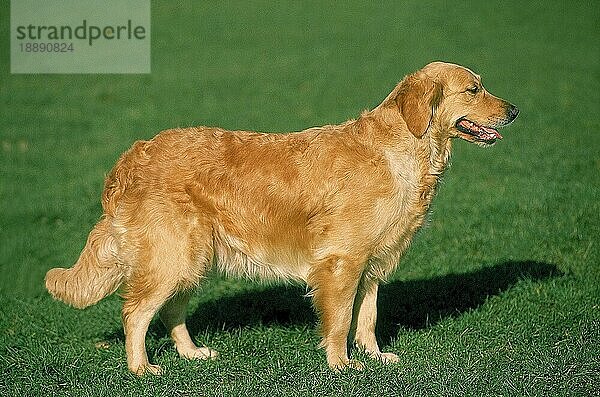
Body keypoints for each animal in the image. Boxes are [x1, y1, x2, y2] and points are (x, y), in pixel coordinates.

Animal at [44, 60, 516, 372]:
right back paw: (141, 369)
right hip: (171, 256)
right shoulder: (341, 261)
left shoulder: (371, 262)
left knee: (171, 312)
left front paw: (375, 356)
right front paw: (342, 366)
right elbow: (340, 321)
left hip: (190, 259)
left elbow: (367, 318)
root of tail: (129, 158)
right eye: (473, 90)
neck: (401, 148)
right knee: (136, 314)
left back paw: (192, 354)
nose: (514, 111)